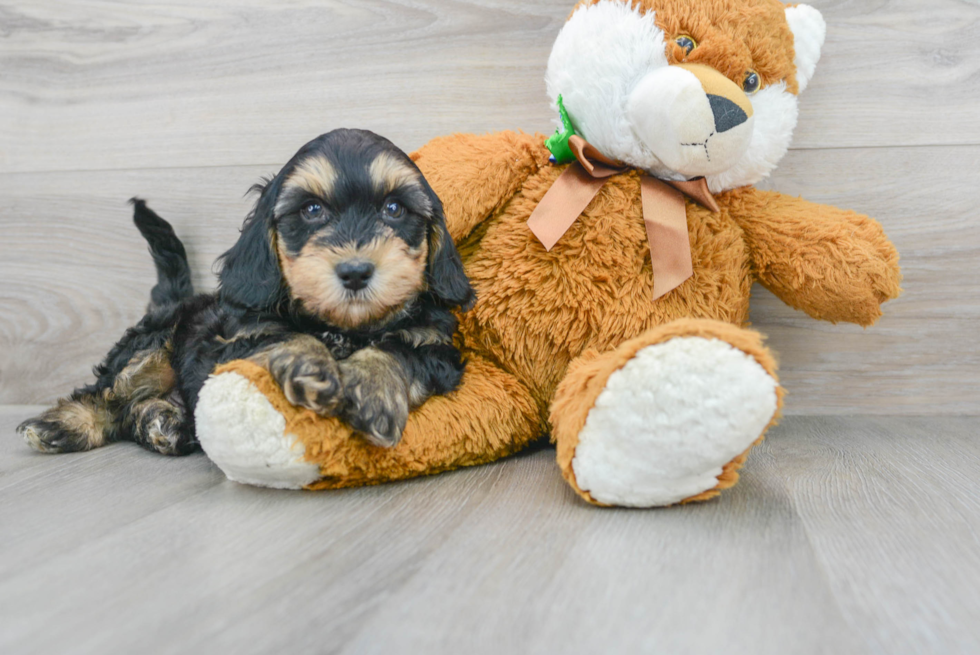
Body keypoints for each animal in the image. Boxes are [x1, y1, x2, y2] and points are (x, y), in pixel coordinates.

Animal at [16, 128, 474, 456]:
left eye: (394, 209)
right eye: (311, 210)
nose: (356, 271)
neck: (343, 327)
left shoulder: (437, 348)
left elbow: (400, 350)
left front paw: (371, 387)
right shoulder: (236, 343)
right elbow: (284, 336)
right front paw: (309, 362)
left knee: (135, 409)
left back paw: (165, 422)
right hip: (151, 343)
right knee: (111, 392)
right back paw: (65, 424)